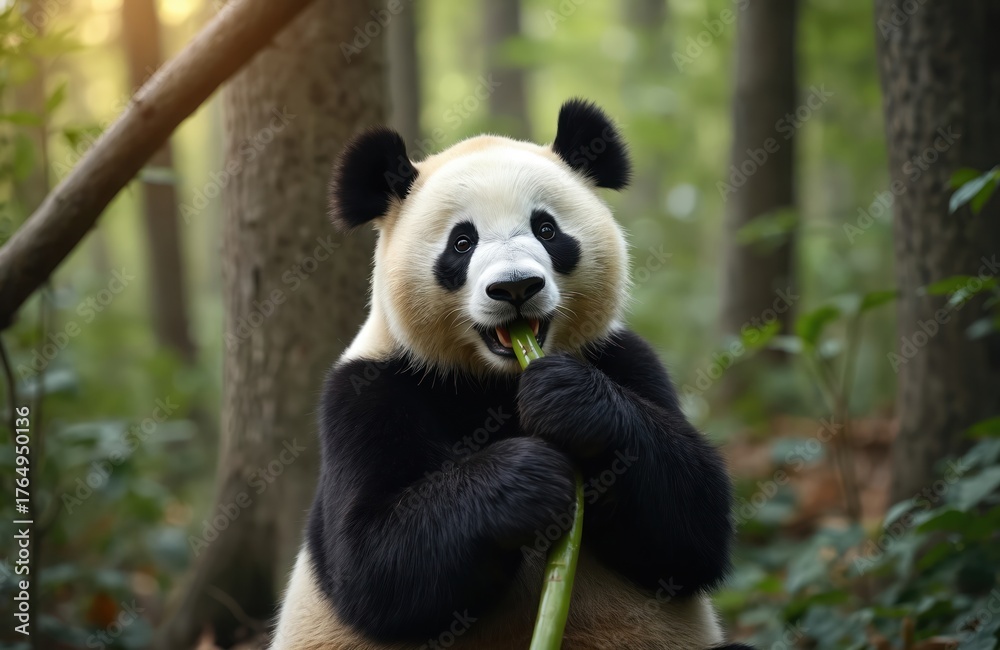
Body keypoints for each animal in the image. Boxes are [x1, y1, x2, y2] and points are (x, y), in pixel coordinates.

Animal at [270, 100, 752, 650]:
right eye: (462, 242)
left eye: (546, 229)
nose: (516, 287)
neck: (493, 381)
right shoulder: (366, 390)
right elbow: (370, 563)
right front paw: (527, 476)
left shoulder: (623, 358)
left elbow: (695, 524)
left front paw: (569, 401)